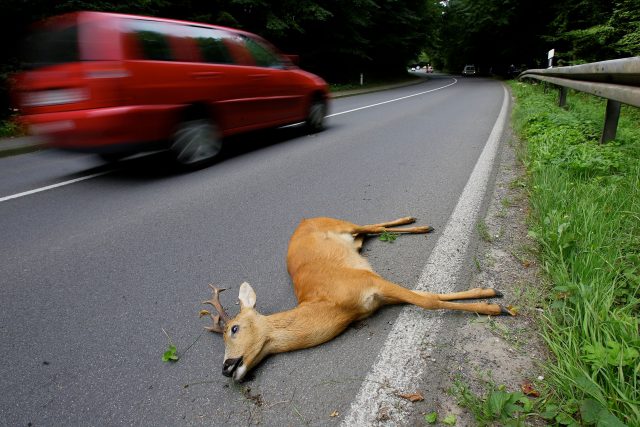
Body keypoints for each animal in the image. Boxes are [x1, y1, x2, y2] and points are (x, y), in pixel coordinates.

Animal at [202, 217, 516, 382]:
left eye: (234, 328)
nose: (226, 367)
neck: (334, 306)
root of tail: (304, 220)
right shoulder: (379, 298)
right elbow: (428, 295)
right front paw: (490, 294)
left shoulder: (370, 280)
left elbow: (427, 300)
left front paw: (496, 307)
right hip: (355, 240)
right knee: (374, 229)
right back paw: (417, 224)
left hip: (340, 224)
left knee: (372, 225)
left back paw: (418, 224)